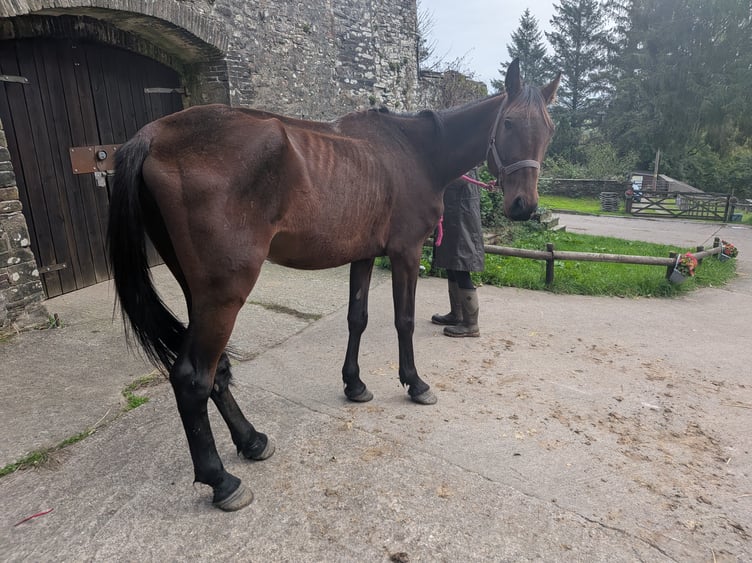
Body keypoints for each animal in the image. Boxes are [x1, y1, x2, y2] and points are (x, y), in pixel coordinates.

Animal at [107, 59, 559, 510]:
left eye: (549, 127)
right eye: (510, 122)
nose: (524, 206)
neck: (414, 152)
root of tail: (153, 136)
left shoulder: (363, 254)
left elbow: (357, 318)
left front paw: (355, 384)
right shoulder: (405, 252)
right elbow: (404, 321)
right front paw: (415, 383)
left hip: (199, 292)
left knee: (215, 371)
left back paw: (252, 441)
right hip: (224, 294)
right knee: (192, 377)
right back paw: (221, 480)